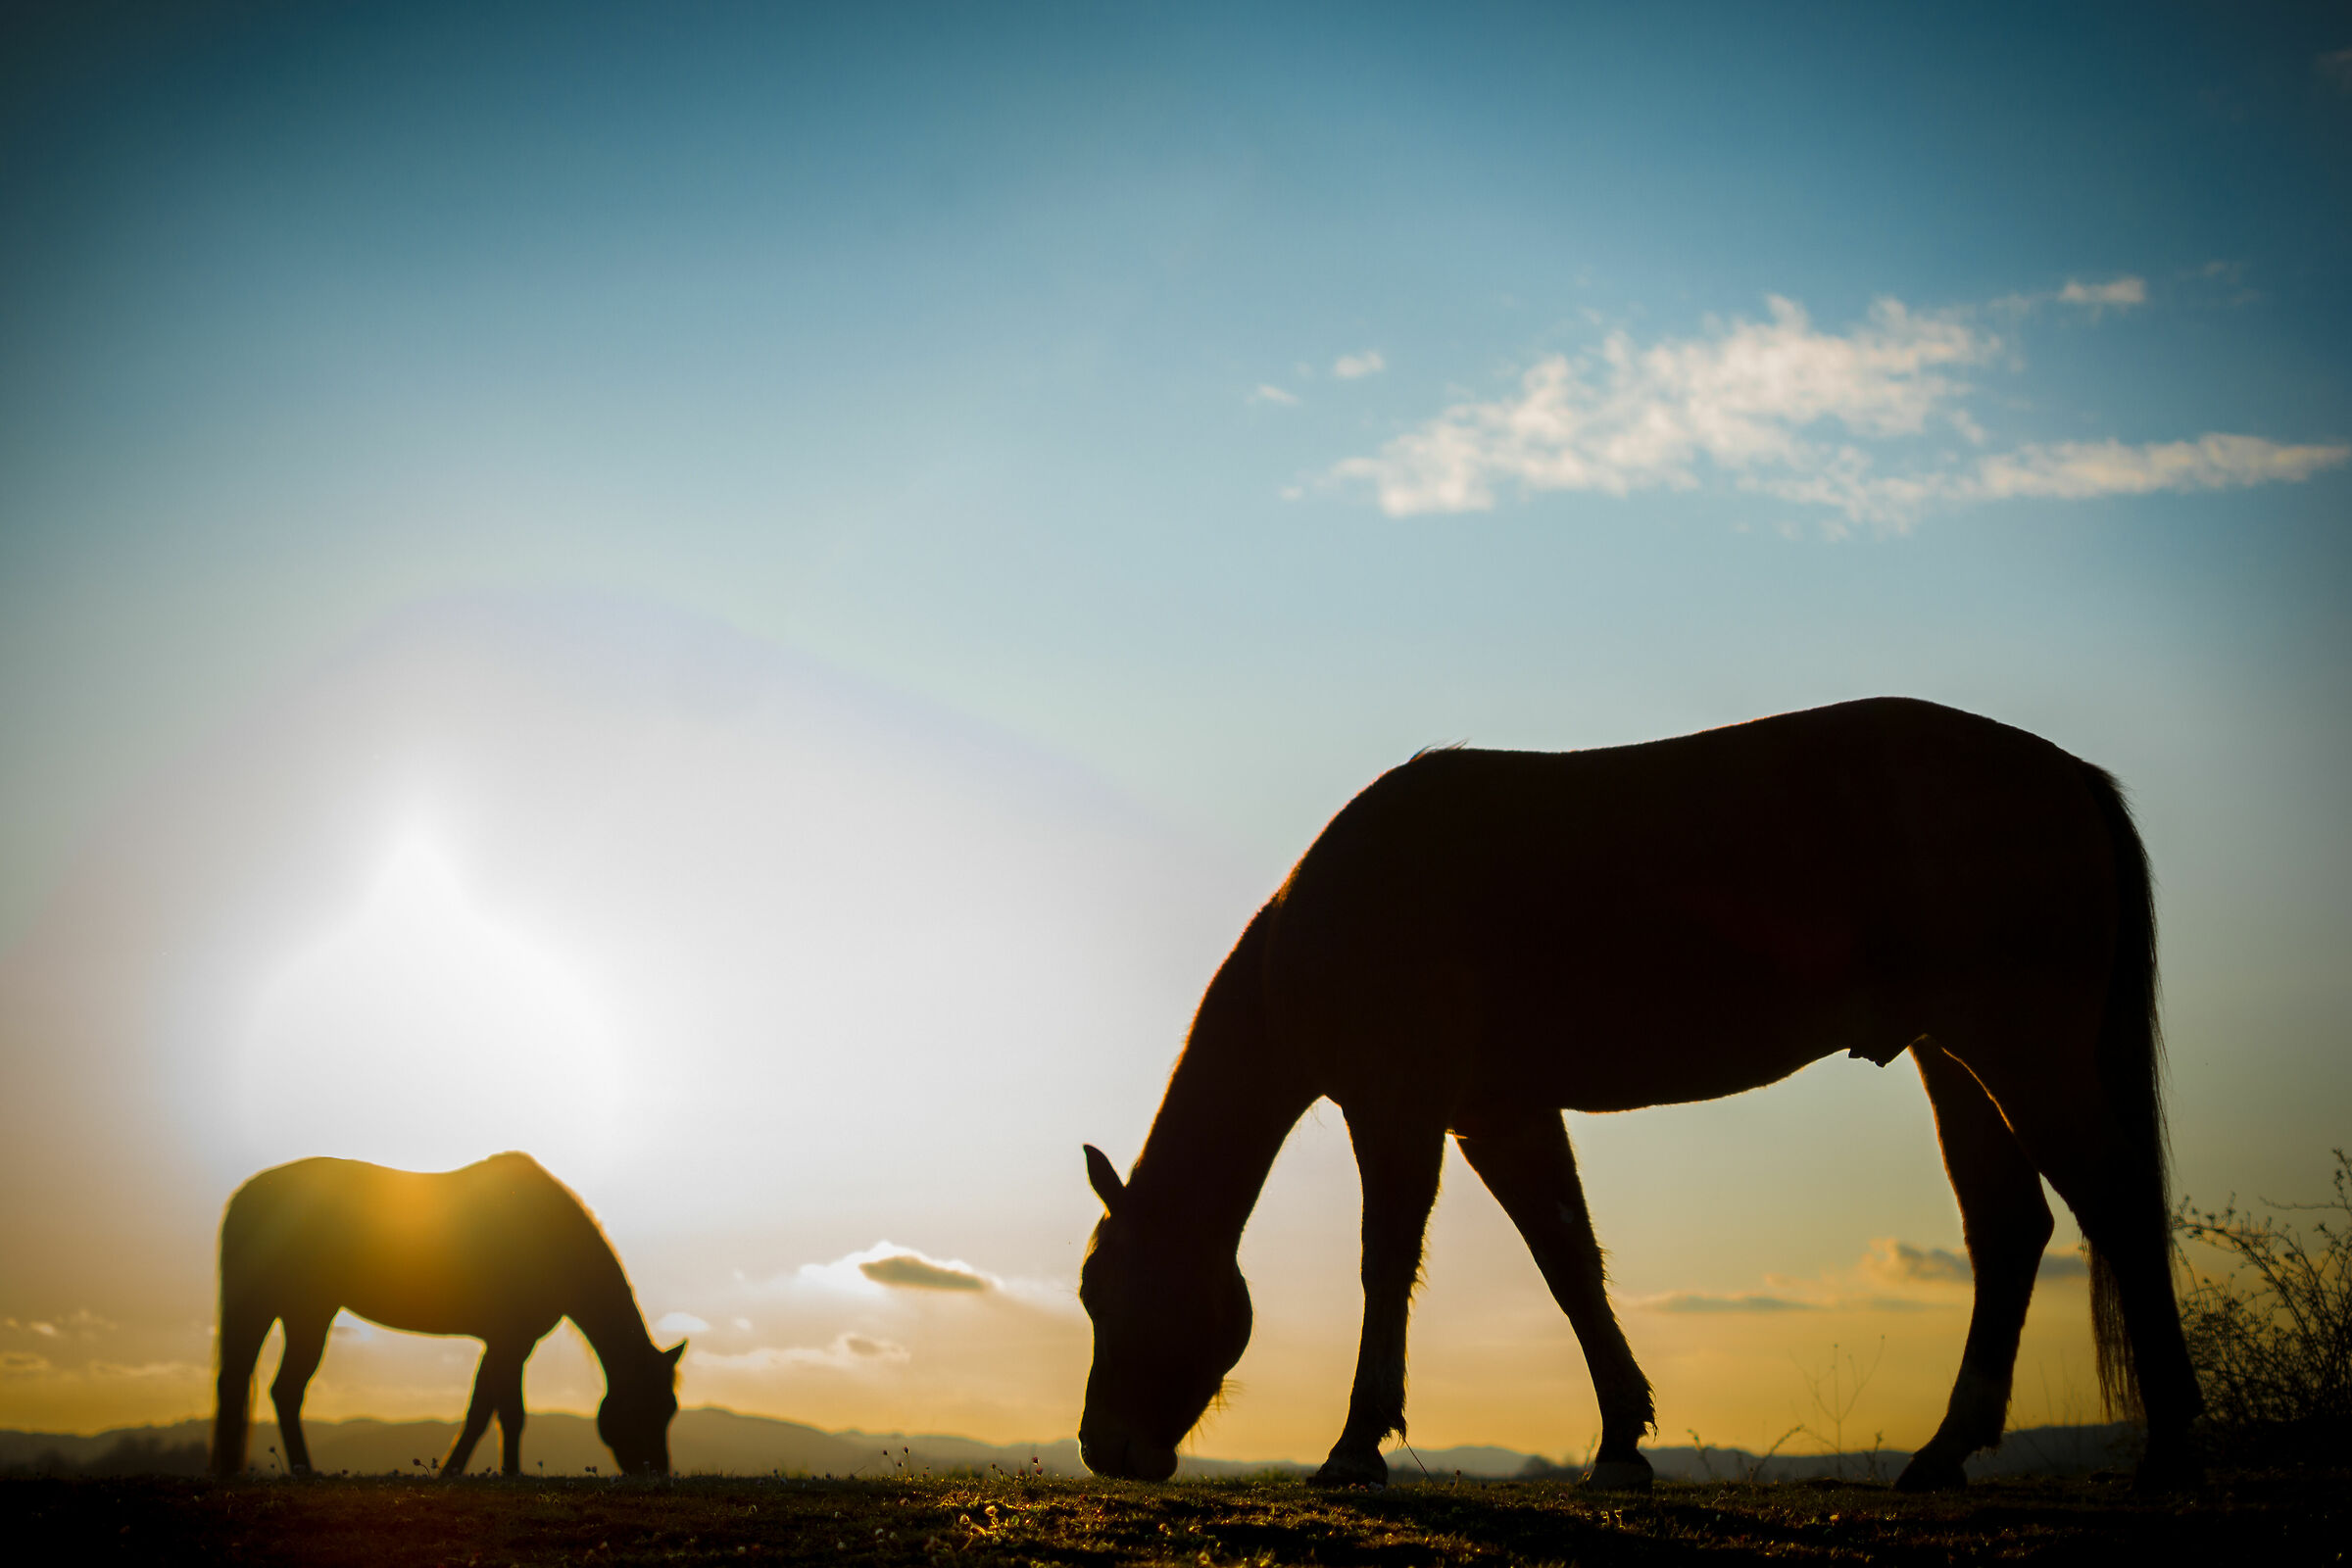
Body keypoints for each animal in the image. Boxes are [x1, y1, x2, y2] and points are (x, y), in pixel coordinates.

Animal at [210, 1152, 684, 1477]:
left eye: (670, 1409)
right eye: (644, 1406)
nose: (656, 1473)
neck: (546, 1235)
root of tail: (245, 1196)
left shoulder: (506, 1342)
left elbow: (481, 1411)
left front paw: (453, 1472)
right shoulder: (510, 1340)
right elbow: (510, 1413)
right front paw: (511, 1475)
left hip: (292, 1311)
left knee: (260, 1386)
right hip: (299, 1311)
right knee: (282, 1389)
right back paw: (304, 1471)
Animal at [1077, 697, 2201, 1492]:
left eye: (1099, 1291)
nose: (1102, 1447)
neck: (1345, 910)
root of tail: (2065, 774)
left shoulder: (1399, 1110)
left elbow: (1386, 1264)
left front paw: (1356, 1446)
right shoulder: (1499, 1115)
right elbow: (1569, 1262)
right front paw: (1621, 1440)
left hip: (2020, 1051)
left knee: (2117, 1205)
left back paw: (2172, 1448)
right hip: (1953, 1060)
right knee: (2010, 1227)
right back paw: (1943, 1454)